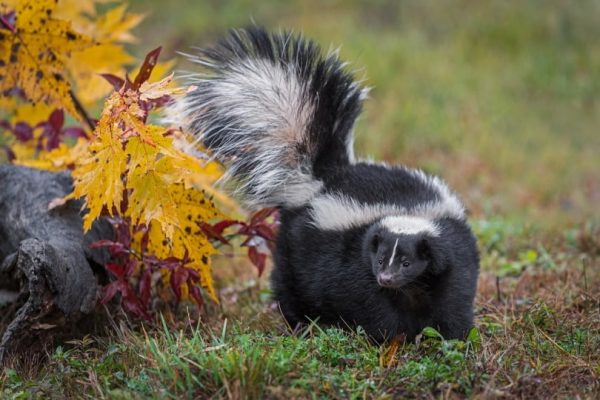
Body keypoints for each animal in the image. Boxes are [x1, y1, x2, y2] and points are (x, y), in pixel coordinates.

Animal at [166, 27, 480, 340]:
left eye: (406, 262)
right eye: (380, 260)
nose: (386, 278)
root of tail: (323, 175)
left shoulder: (451, 255)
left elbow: (453, 298)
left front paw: (452, 336)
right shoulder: (354, 262)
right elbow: (372, 304)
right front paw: (392, 337)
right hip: (296, 245)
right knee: (289, 284)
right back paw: (300, 322)